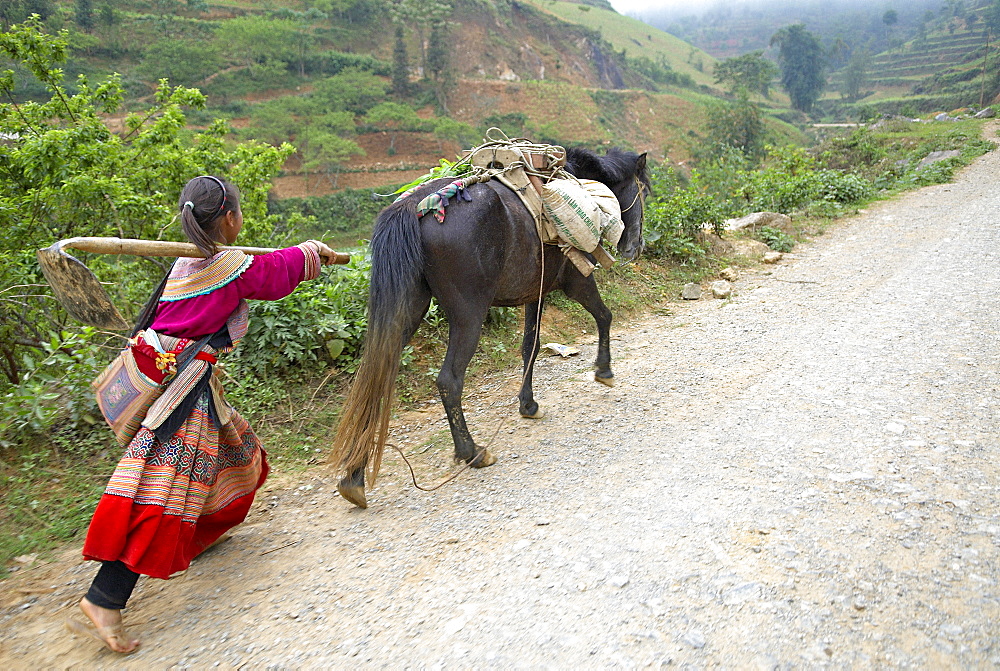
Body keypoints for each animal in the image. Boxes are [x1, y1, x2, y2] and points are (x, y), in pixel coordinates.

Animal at [332, 144, 652, 506]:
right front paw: (604, 370)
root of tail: (412, 206)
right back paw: (471, 452)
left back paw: (354, 476)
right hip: (469, 314)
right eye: (643, 191)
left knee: (375, 376)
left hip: (407, 309)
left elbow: (530, 346)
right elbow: (604, 316)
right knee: (448, 380)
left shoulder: (535, 292)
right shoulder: (576, 281)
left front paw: (528, 404)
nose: (635, 247)